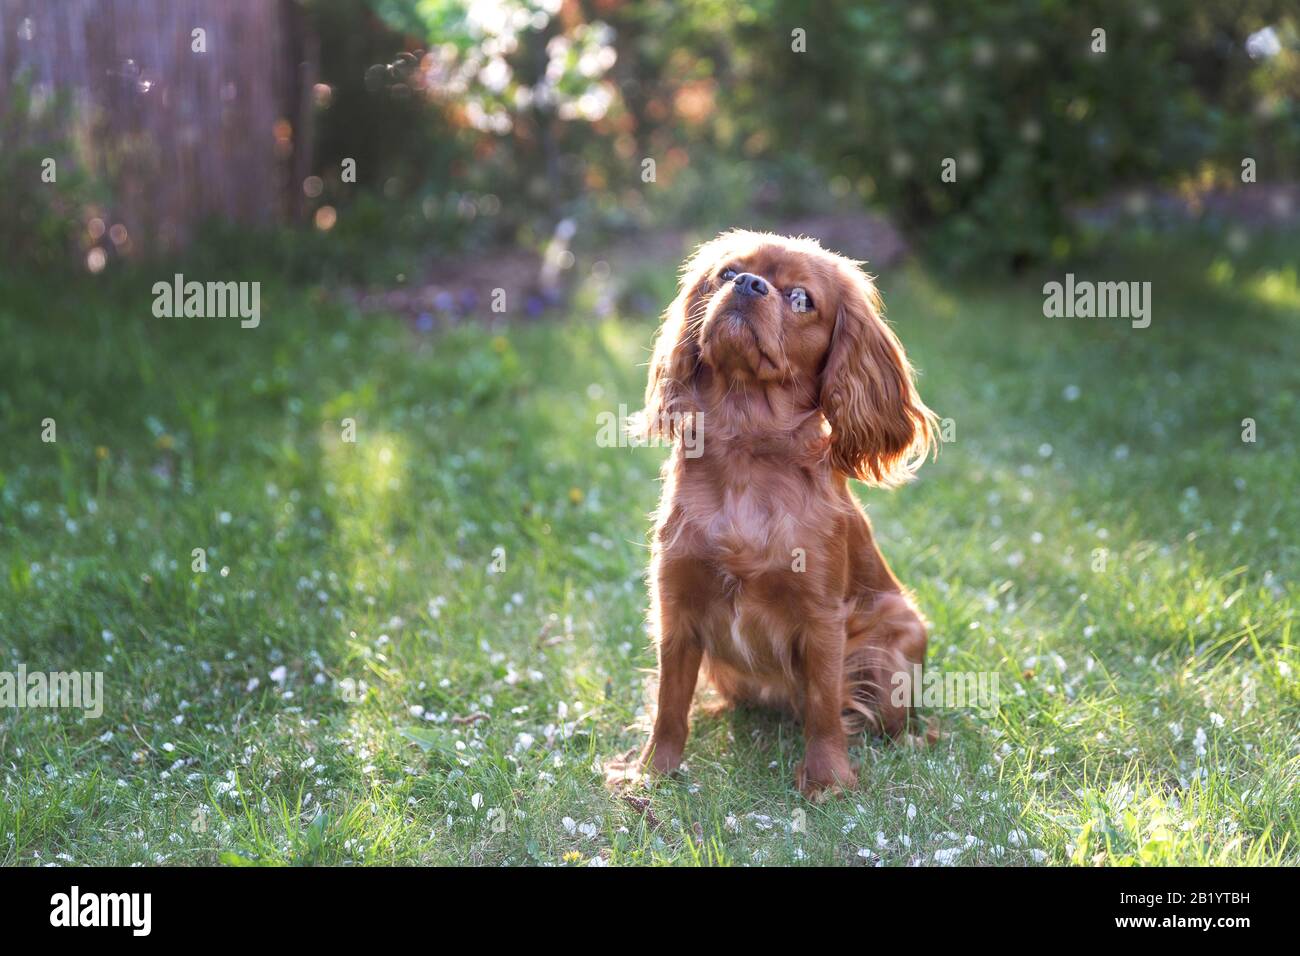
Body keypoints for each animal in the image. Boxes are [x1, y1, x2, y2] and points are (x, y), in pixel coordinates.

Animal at [629, 227, 935, 796]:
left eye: (800, 299)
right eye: (727, 273)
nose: (749, 284)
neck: (747, 446)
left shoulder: (821, 618)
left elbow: (823, 707)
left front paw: (828, 780)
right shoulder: (676, 607)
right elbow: (669, 703)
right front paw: (652, 772)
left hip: (893, 652)